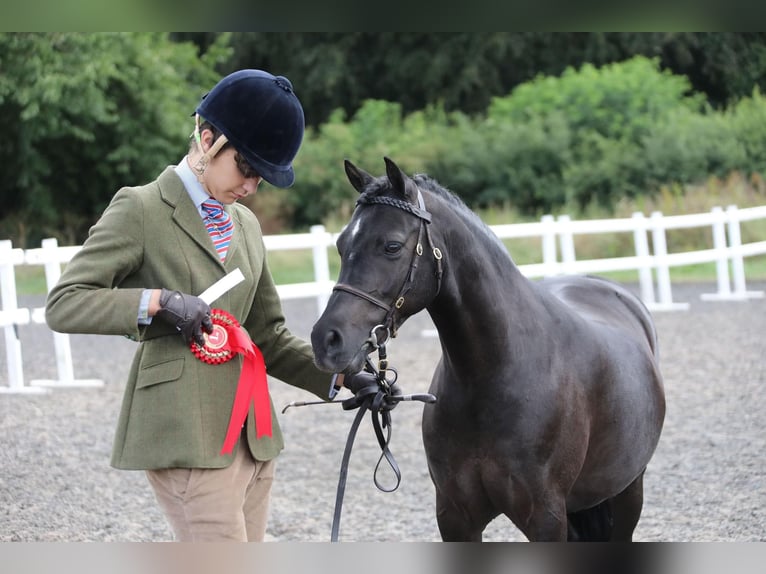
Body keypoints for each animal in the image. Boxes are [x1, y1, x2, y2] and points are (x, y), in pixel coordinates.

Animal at [312, 159, 664, 544]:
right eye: (342, 244)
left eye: (391, 246)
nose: (326, 340)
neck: (492, 374)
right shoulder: (455, 517)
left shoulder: (545, 519)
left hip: (628, 492)